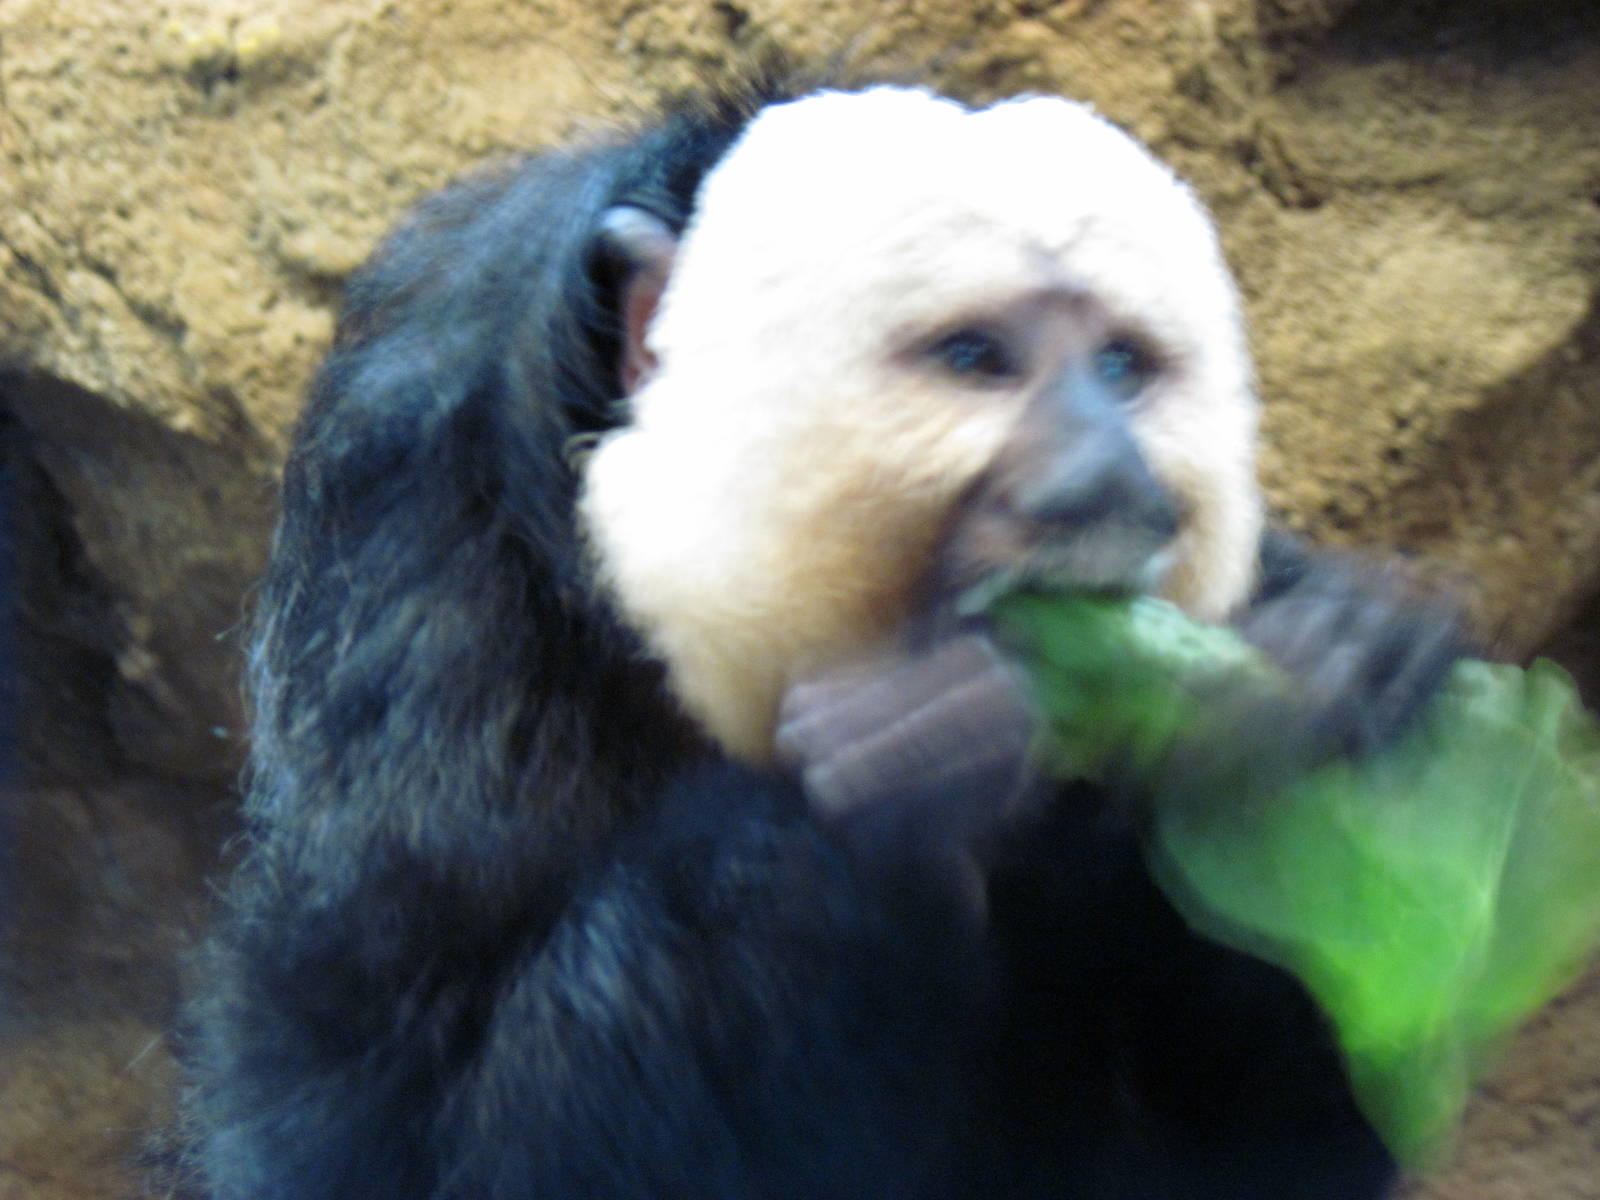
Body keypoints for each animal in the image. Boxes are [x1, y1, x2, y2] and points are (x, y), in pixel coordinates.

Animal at [182, 82, 1463, 1200]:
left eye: (1121, 368)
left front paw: (1337, 671)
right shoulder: (418, 597)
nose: (1108, 478)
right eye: (976, 359)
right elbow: (364, 1122)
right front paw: (888, 778)